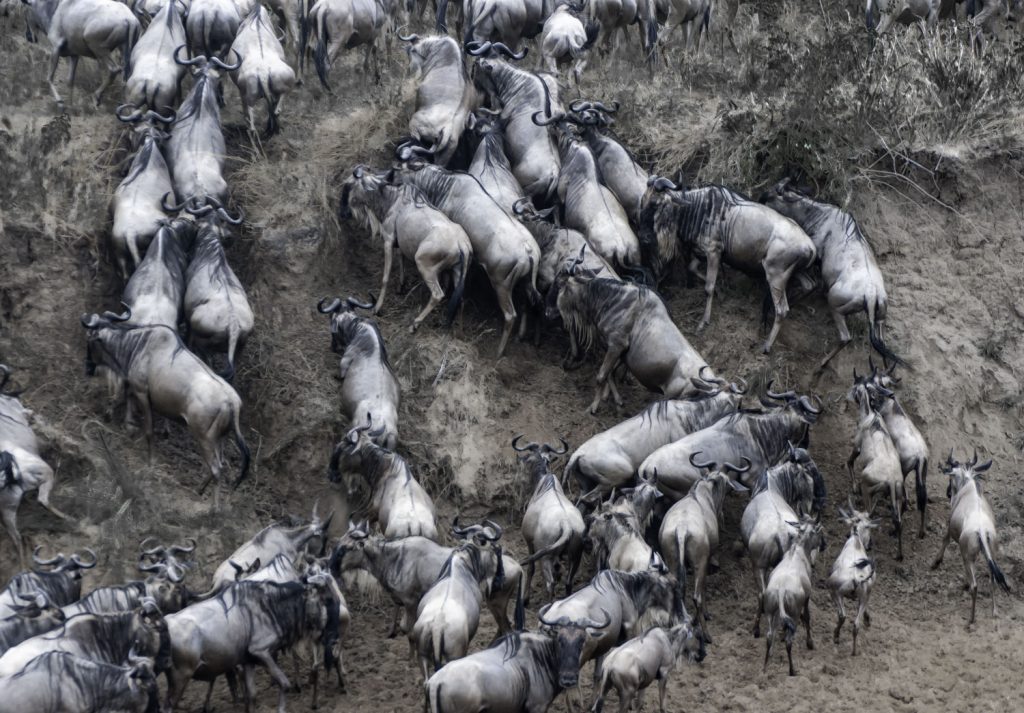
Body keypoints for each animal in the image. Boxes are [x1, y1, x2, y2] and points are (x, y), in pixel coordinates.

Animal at [765, 518, 827, 672]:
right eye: (820, 531)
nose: (825, 544)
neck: (797, 552)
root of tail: (781, 590)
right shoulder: (807, 598)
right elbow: (807, 617)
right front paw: (810, 643)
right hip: (793, 613)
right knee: (788, 641)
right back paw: (792, 670)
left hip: (770, 611)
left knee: (769, 636)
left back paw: (765, 668)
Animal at [827, 501, 876, 651]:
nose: (870, 544)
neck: (856, 541)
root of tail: (855, 578)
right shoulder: (867, 594)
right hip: (862, 596)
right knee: (856, 625)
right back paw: (854, 650)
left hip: (835, 592)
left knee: (842, 615)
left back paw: (836, 636)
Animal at [933, 450, 1011, 622]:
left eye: (951, 477)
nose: (948, 493)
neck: (969, 487)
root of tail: (981, 531)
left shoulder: (950, 527)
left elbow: (944, 540)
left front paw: (936, 562)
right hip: (990, 555)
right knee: (992, 580)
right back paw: (994, 611)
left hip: (968, 556)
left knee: (975, 586)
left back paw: (971, 618)